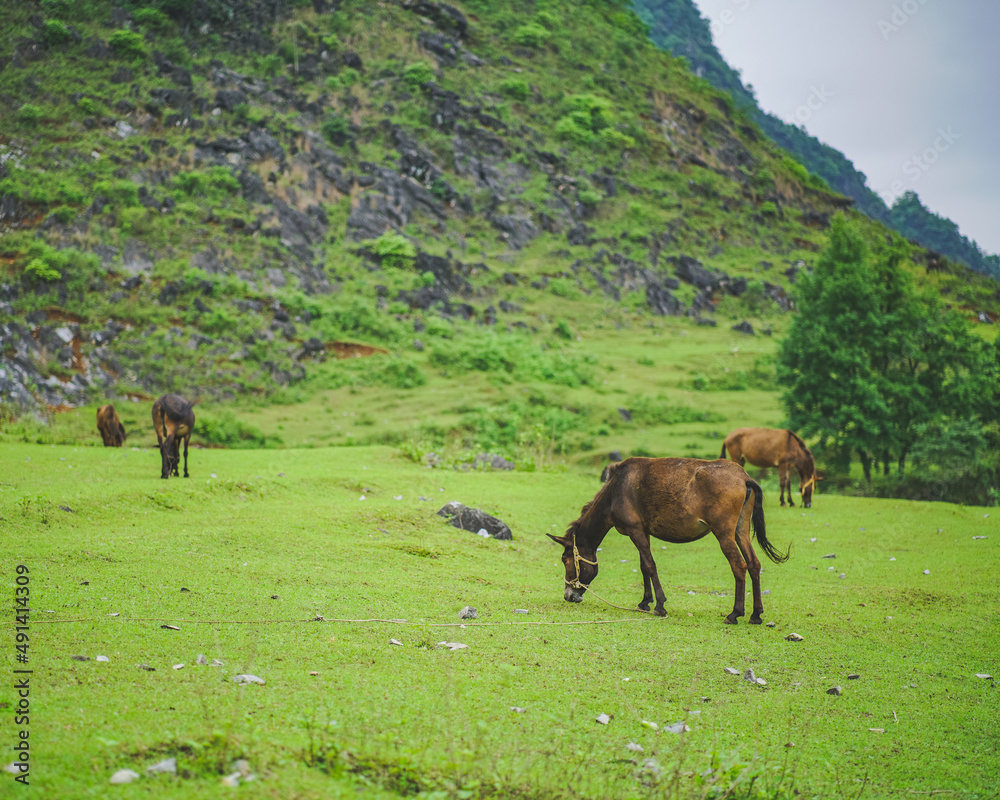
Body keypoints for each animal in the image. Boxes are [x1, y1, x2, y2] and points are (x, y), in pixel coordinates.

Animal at [548, 458, 789, 624]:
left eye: (565, 560)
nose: (568, 595)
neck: (615, 491)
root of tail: (743, 476)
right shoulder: (642, 532)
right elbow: (643, 566)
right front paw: (645, 602)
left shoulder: (635, 530)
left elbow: (649, 565)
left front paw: (660, 605)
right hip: (741, 531)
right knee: (754, 564)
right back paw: (756, 614)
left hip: (723, 533)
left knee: (739, 566)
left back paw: (735, 613)